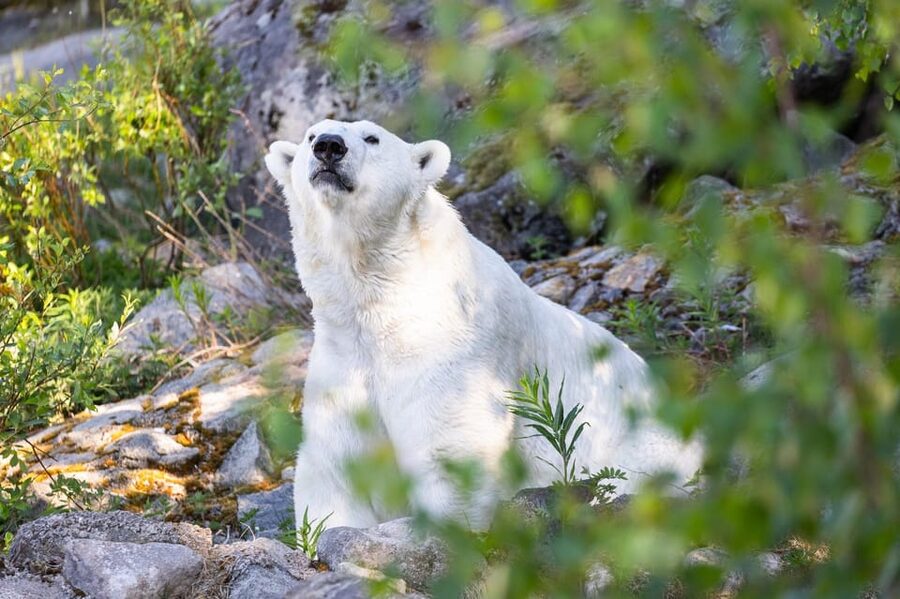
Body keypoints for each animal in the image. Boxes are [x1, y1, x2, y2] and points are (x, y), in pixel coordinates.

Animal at [265, 119, 703, 529]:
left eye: (372, 138)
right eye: (311, 135)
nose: (329, 147)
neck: (387, 294)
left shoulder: (448, 347)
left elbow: (449, 451)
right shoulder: (343, 360)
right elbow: (337, 467)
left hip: (642, 445)